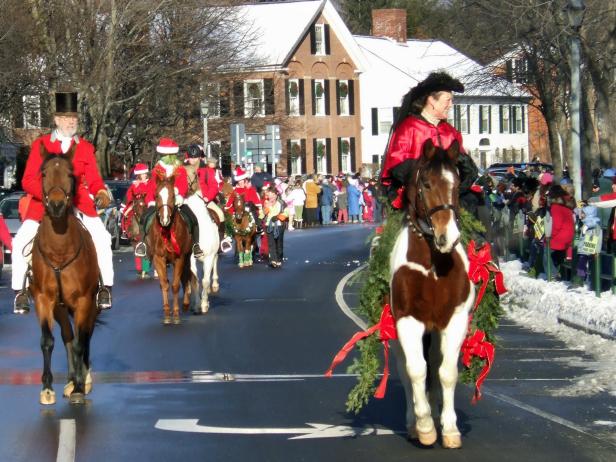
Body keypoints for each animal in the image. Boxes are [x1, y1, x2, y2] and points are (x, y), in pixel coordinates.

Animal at [31, 145, 100, 404]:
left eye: (71, 174)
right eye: (43, 174)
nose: (57, 205)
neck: (60, 250)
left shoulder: (84, 301)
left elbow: (81, 342)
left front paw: (80, 387)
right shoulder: (44, 299)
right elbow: (47, 341)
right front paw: (47, 387)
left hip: (92, 306)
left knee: (85, 336)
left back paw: (82, 379)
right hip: (60, 309)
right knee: (68, 336)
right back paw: (71, 380)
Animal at [146, 171, 196, 324]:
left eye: (173, 196)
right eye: (156, 195)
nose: (165, 219)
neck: (167, 231)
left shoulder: (179, 258)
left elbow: (175, 285)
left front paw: (176, 314)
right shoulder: (158, 259)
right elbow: (164, 284)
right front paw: (167, 314)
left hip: (186, 258)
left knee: (186, 277)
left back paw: (186, 303)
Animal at [390, 140, 476, 448]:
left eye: (457, 182)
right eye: (426, 184)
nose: (447, 236)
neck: (432, 266)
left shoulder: (455, 319)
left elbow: (446, 373)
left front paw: (449, 428)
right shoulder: (407, 320)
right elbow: (416, 369)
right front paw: (425, 425)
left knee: (436, 365)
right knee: (406, 370)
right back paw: (414, 422)